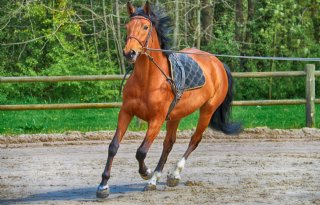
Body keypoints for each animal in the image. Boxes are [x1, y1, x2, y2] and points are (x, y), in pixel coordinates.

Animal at [96, 0, 241, 198]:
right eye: (126, 26)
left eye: (145, 26)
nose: (129, 53)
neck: (148, 80)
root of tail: (217, 63)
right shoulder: (126, 112)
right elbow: (113, 146)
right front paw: (103, 186)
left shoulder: (156, 120)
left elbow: (141, 152)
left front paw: (146, 172)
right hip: (176, 116)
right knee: (169, 144)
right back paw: (156, 178)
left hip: (207, 110)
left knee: (194, 140)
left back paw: (173, 174)